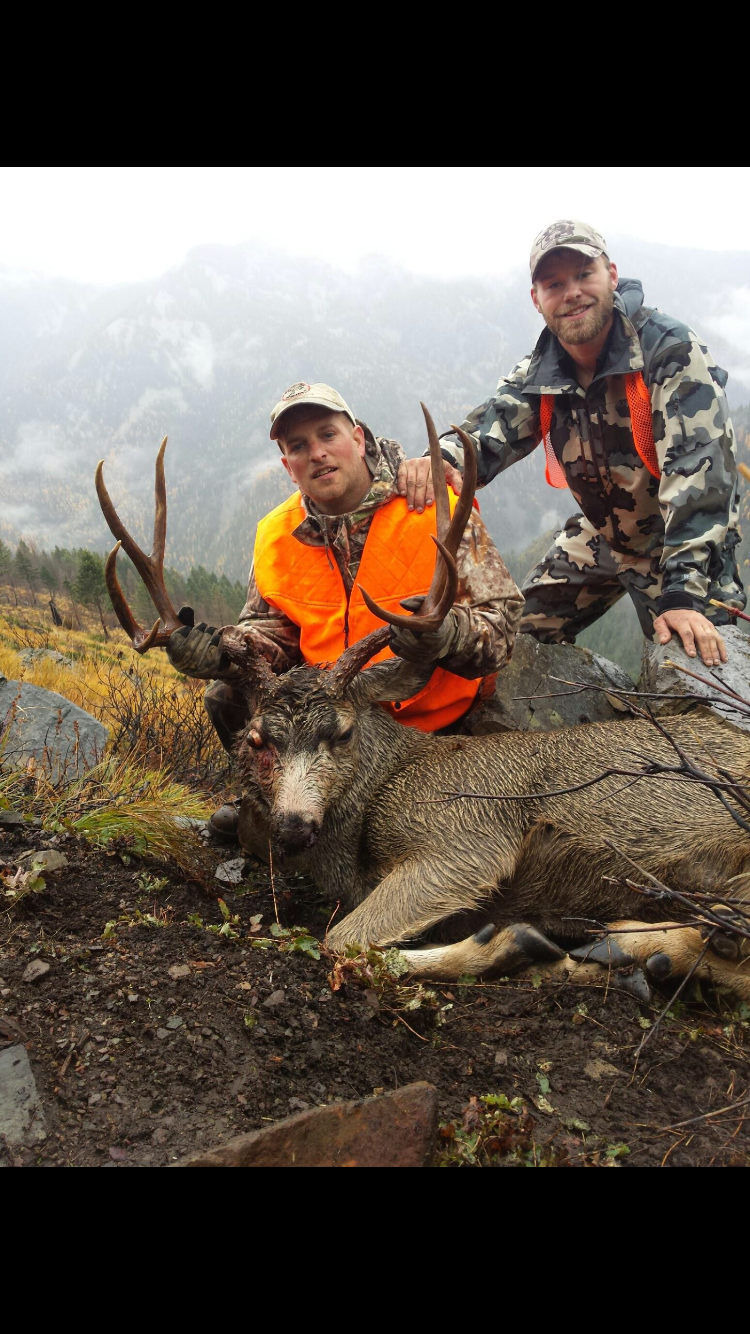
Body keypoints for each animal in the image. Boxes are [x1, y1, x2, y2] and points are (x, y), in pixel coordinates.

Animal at [96, 418, 750, 1002]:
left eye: (342, 732)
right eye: (257, 739)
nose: (293, 827)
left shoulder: (464, 838)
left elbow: (340, 939)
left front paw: (515, 944)